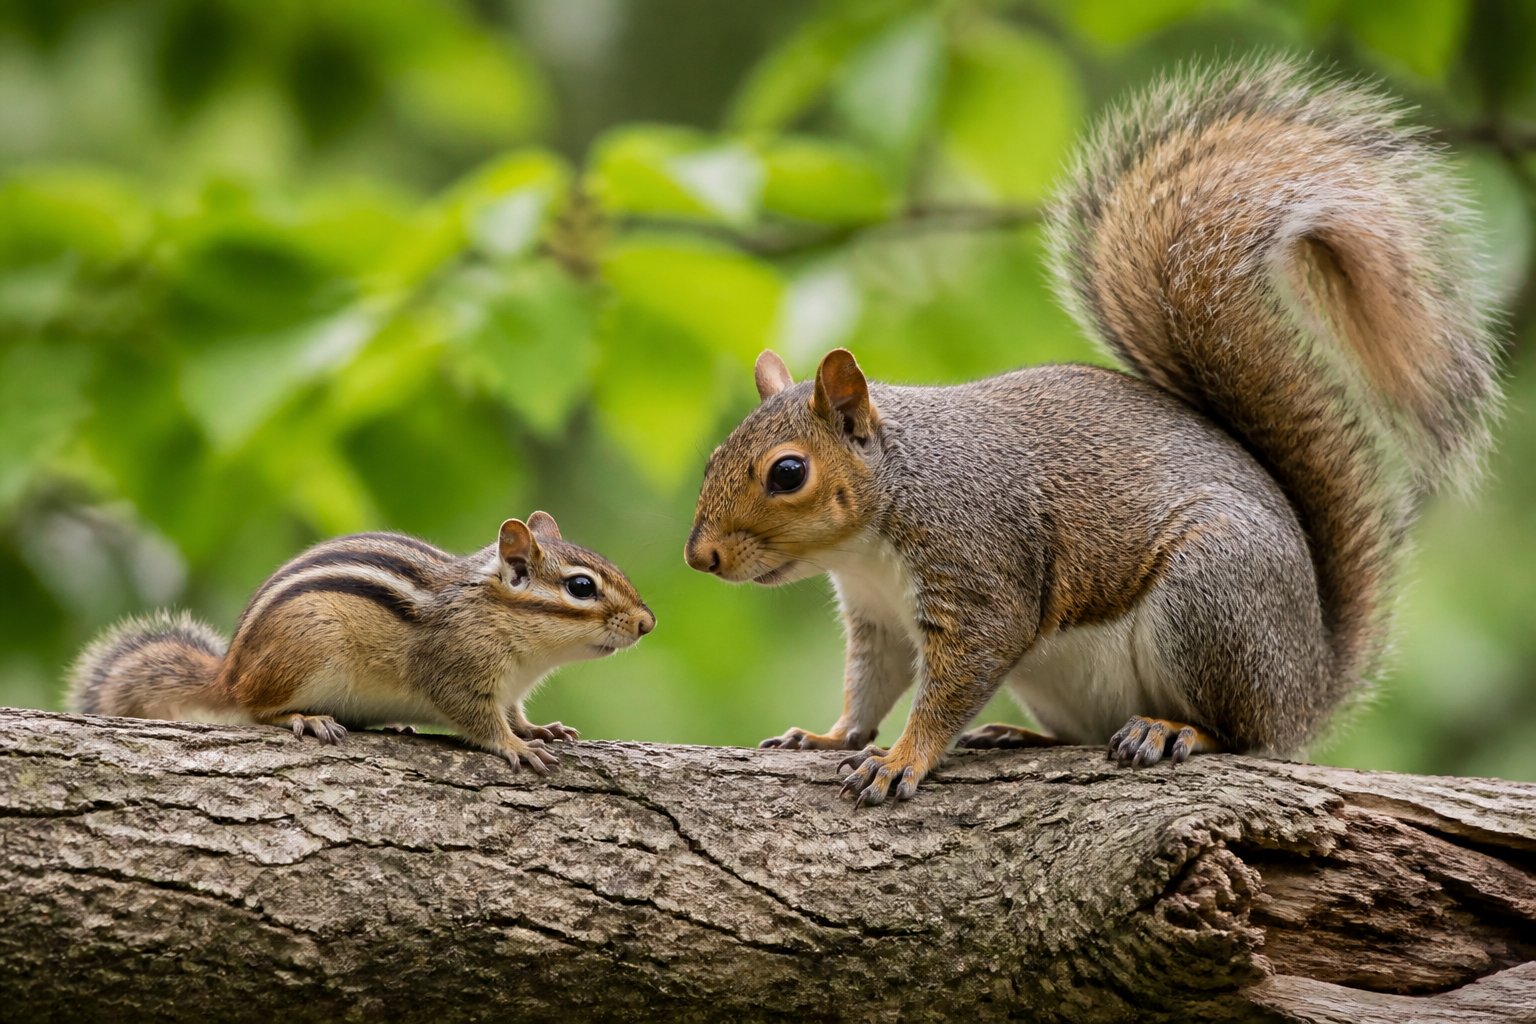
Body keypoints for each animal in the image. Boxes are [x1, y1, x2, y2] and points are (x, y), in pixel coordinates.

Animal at [67, 513, 655, 773]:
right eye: (581, 587)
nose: (648, 623)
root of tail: (229, 670)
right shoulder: (456, 671)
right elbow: (481, 721)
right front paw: (516, 746)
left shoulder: (509, 689)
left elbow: (515, 713)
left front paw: (540, 730)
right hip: (308, 652)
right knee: (255, 708)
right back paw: (305, 719)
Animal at [685, 58, 1502, 806]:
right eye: (715, 456)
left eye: (788, 473)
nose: (701, 557)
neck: (877, 526)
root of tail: (1306, 685)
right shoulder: (877, 618)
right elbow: (868, 688)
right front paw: (828, 736)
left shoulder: (980, 572)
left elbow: (953, 685)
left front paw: (901, 760)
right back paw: (1020, 735)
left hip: (1211, 599)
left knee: (1241, 735)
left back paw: (1173, 730)